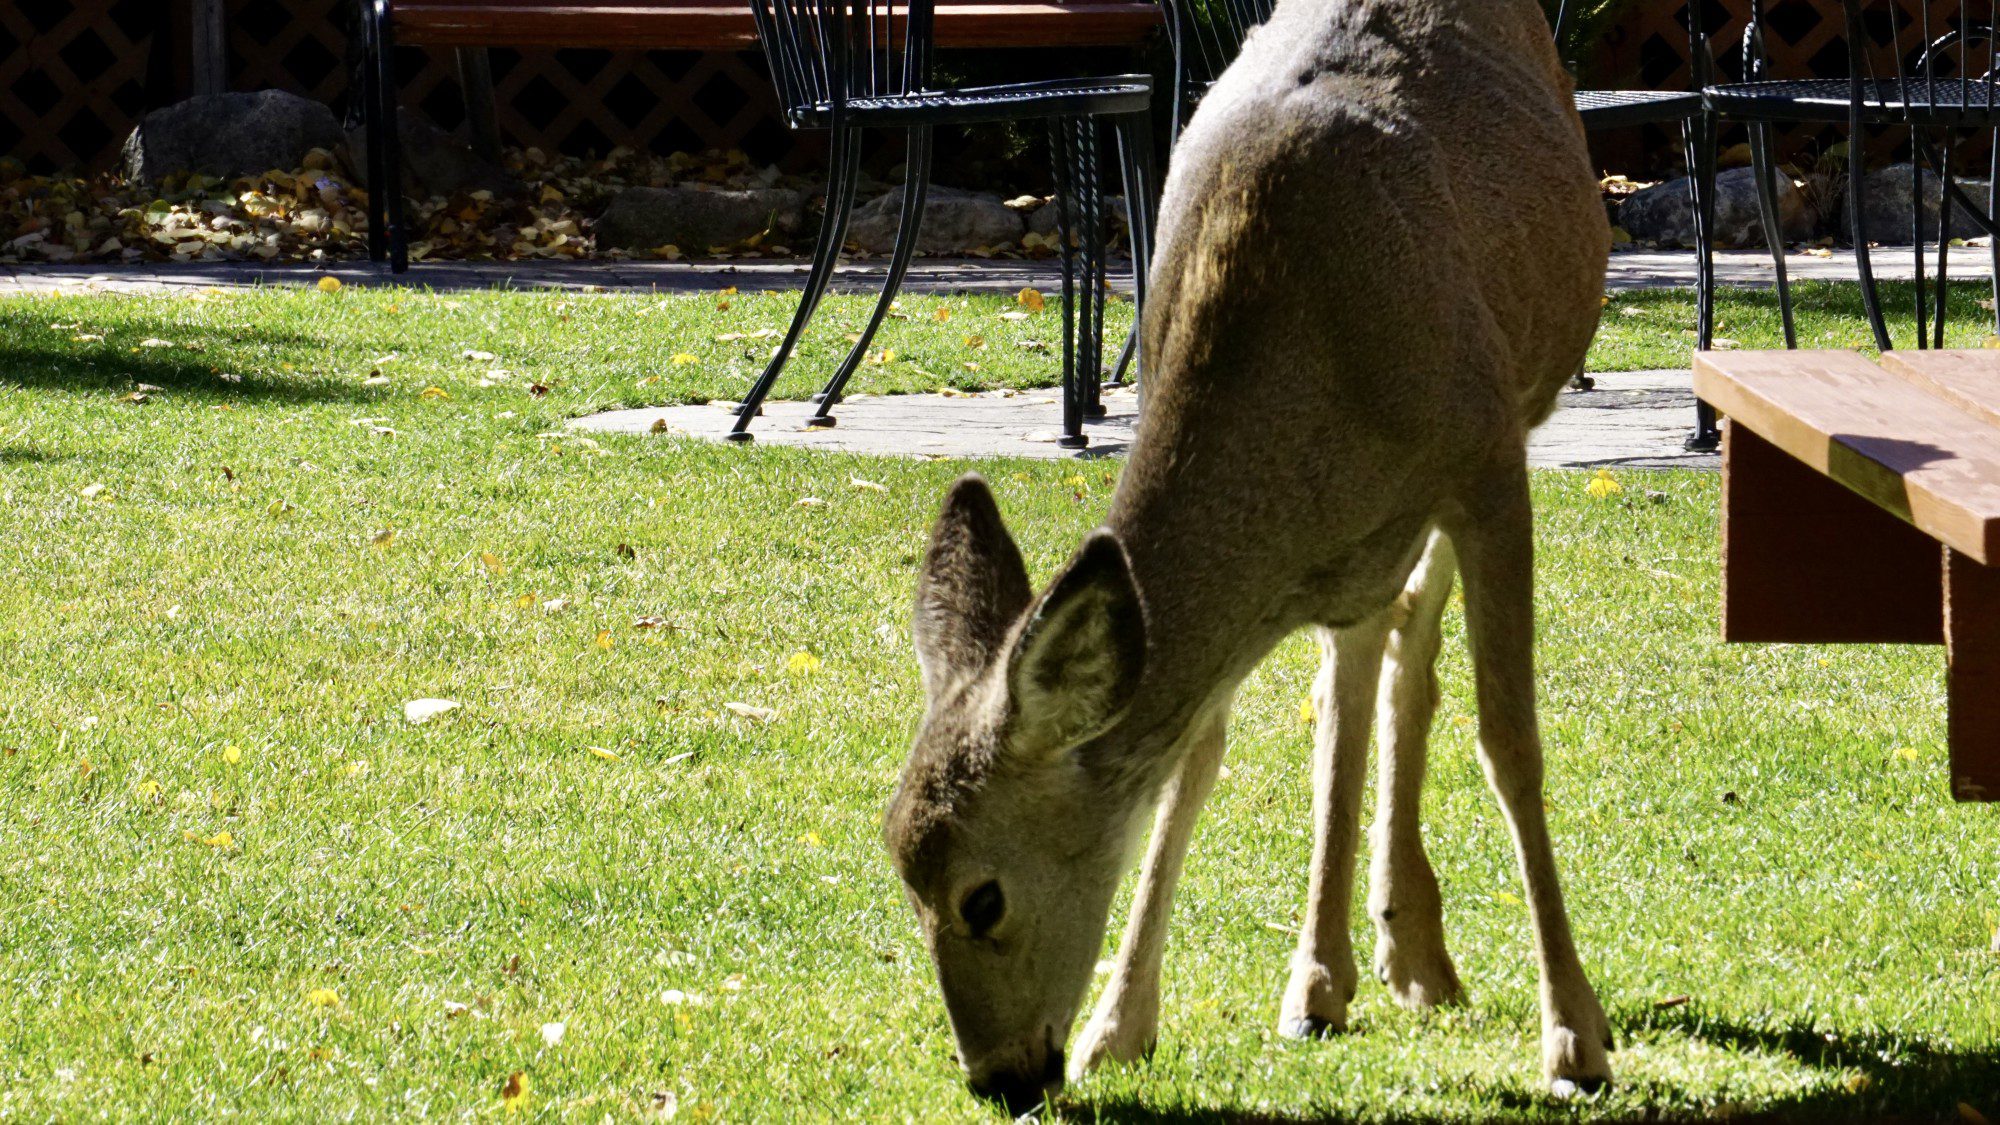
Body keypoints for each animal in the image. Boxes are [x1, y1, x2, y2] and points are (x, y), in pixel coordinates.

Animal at [884, 0, 1614, 1110]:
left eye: (981, 898)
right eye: (899, 872)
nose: (1000, 1078)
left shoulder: (1486, 456)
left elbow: (1509, 740)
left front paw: (1576, 1037)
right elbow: (1200, 756)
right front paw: (1117, 1026)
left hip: (1499, 414)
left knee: (1410, 663)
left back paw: (1407, 960)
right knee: (1360, 675)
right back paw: (1339, 973)